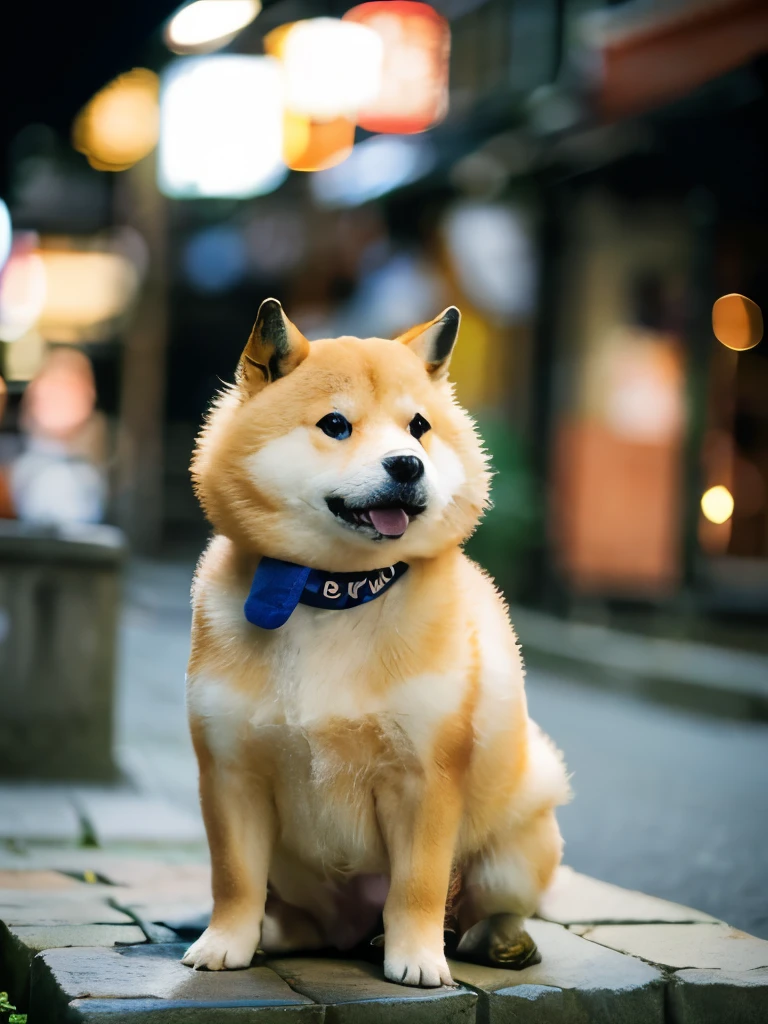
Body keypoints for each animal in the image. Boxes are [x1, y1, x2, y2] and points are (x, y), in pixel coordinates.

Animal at [183, 299, 573, 987]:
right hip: (303, 883)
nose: (407, 464)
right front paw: (225, 943)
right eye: (335, 425)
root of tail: (351, 931)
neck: (333, 591)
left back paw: (492, 940)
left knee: (485, 907)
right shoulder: (230, 776)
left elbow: (417, 885)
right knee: (305, 919)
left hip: (516, 841)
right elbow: (233, 879)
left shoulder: (425, 779)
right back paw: (279, 933)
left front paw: (417, 957)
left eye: (418, 427)